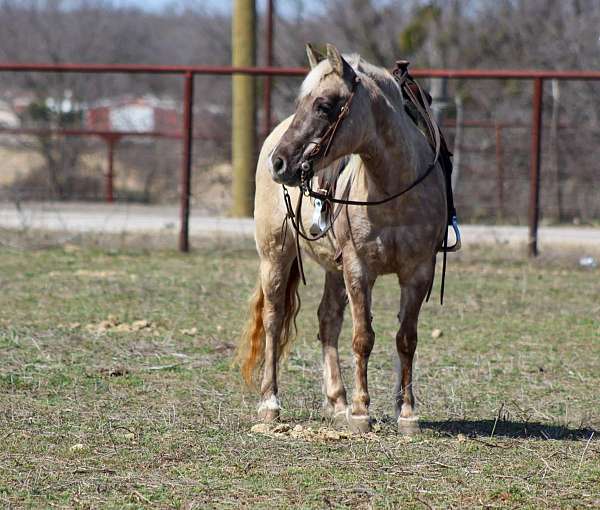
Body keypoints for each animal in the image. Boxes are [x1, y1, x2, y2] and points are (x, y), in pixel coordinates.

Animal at [238, 44, 450, 434]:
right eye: (301, 101)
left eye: (324, 105)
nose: (280, 163)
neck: (392, 189)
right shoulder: (358, 268)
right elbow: (363, 337)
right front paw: (361, 411)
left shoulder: (417, 272)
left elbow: (406, 339)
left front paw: (406, 413)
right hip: (275, 256)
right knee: (274, 320)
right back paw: (270, 403)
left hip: (333, 268)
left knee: (328, 320)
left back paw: (336, 402)